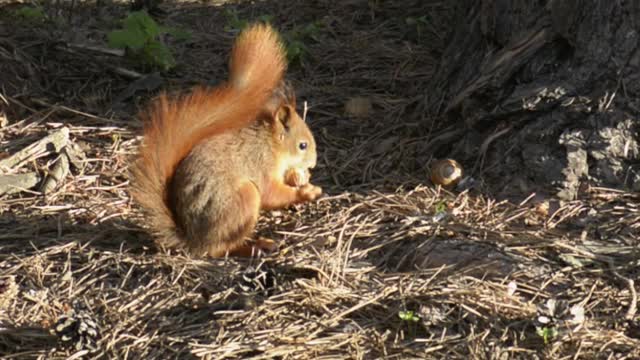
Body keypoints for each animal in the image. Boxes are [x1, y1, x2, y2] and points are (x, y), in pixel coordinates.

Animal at [130, 23, 322, 258]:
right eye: (302, 145)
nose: (312, 164)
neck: (271, 144)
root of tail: (195, 242)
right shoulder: (261, 164)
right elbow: (272, 193)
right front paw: (307, 191)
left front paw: (298, 176)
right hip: (242, 200)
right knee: (221, 248)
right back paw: (255, 246)